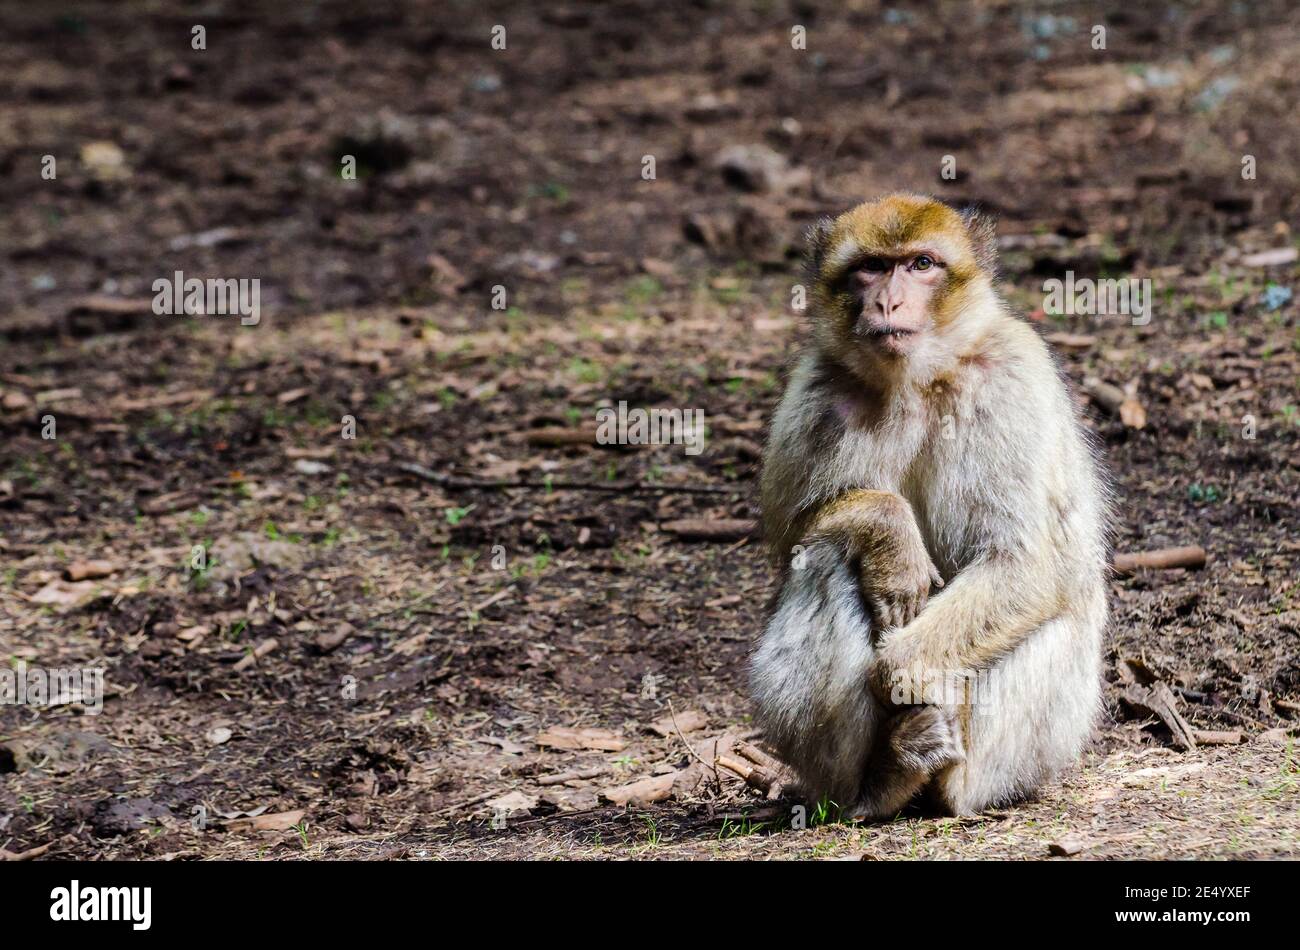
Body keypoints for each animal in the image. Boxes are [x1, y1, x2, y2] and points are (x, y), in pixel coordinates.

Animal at [754, 191, 1107, 816]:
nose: (887, 300)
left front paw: (895, 674)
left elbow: (1026, 564)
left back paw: (937, 774)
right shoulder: (816, 388)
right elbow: (789, 533)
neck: (917, 381)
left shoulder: (1012, 375)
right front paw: (890, 535)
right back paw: (882, 778)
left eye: (921, 264)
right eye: (871, 267)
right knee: (827, 556)